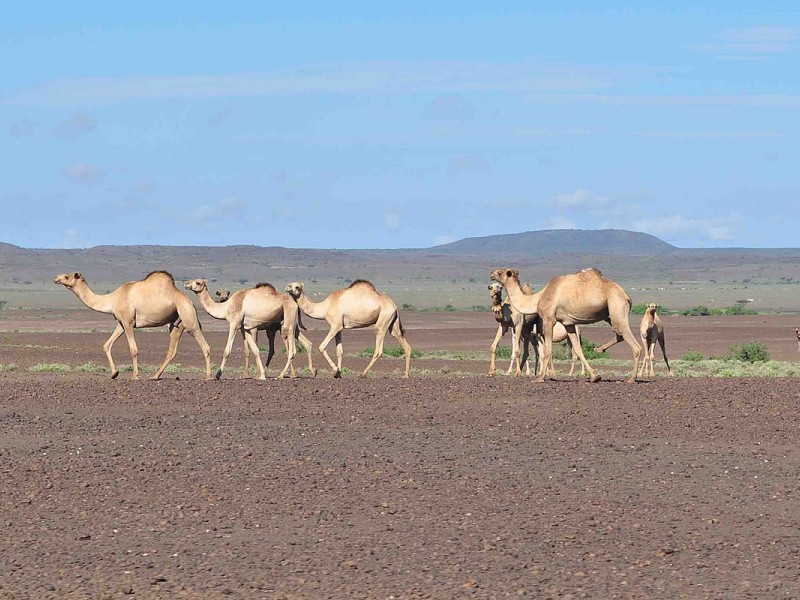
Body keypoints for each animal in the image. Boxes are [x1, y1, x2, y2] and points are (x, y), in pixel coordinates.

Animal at [54, 272, 214, 380]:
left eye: (67, 276)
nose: (56, 278)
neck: (112, 299)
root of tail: (190, 302)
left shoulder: (128, 321)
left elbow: (133, 349)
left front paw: (135, 375)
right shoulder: (120, 323)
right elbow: (107, 345)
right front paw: (114, 373)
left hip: (188, 317)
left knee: (204, 345)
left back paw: (209, 376)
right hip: (176, 323)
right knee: (172, 350)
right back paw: (155, 376)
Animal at [185, 278, 316, 380]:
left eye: (197, 282)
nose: (186, 283)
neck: (226, 307)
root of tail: (295, 303)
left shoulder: (234, 324)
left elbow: (227, 351)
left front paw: (218, 375)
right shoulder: (245, 328)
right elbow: (255, 350)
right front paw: (261, 375)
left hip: (288, 322)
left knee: (292, 350)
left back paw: (281, 375)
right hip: (288, 324)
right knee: (304, 343)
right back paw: (312, 371)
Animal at [284, 280, 412, 378]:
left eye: (297, 286)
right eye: (290, 284)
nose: (288, 288)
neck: (325, 307)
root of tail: (394, 306)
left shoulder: (335, 326)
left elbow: (322, 347)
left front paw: (335, 371)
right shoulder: (339, 328)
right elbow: (339, 351)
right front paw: (339, 374)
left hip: (382, 322)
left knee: (378, 349)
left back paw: (363, 374)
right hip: (392, 325)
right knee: (406, 345)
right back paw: (405, 375)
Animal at [488, 268, 644, 384]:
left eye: (501, 272)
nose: (491, 274)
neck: (537, 298)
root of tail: (626, 296)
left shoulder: (548, 319)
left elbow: (547, 351)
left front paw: (540, 377)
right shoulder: (568, 323)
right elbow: (578, 349)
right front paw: (595, 376)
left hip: (617, 305)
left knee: (632, 342)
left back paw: (631, 379)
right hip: (609, 315)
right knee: (619, 333)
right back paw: (599, 349)